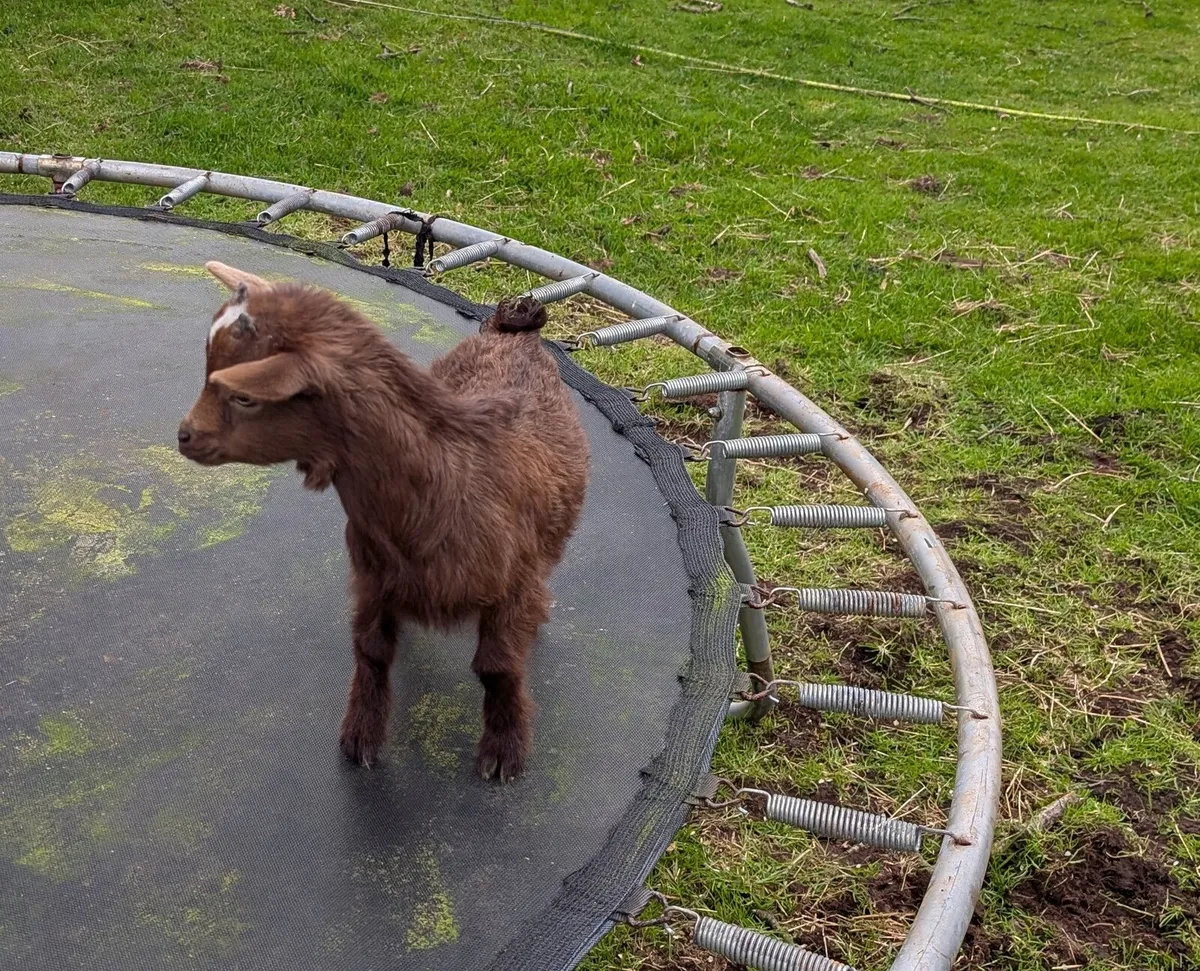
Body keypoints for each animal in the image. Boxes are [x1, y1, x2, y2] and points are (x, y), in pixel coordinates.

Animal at [178, 262, 589, 782]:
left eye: (244, 397)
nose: (184, 436)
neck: (447, 485)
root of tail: (514, 332)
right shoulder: (372, 577)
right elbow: (371, 650)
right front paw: (361, 736)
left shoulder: (512, 584)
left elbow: (497, 666)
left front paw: (503, 750)